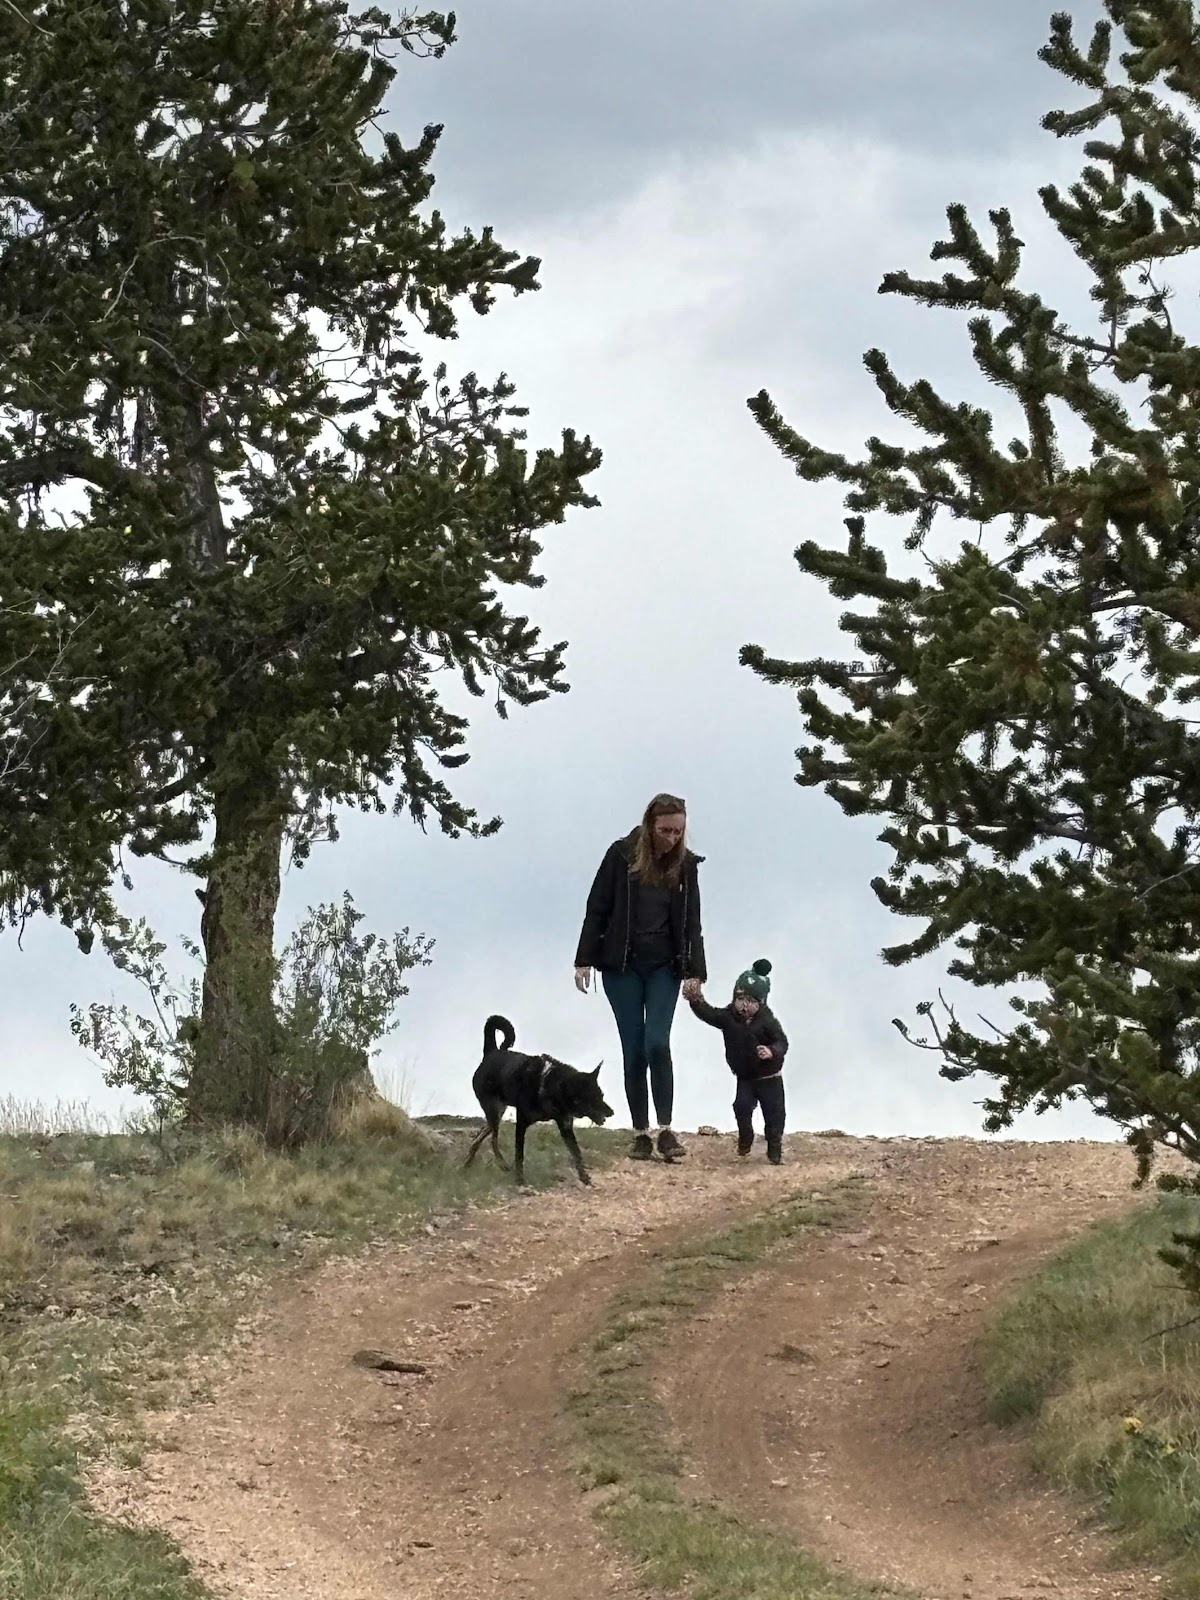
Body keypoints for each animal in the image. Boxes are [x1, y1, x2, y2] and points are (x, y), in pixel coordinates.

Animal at [463, 1015, 613, 1186]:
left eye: (602, 1095)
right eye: (594, 1096)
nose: (612, 1112)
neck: (552, 1086)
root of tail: (491, 1052)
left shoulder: (565, 1126)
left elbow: (576, 1153)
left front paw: (585, 1178)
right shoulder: (521, 1122)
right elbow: (519, 1155)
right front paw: (520, 1179)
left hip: (498, 1110)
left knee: (482, 1133)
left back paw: (468, 1161)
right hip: (493, 1109)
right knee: (493, 1139)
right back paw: (501, 1163)